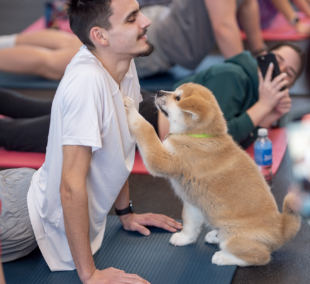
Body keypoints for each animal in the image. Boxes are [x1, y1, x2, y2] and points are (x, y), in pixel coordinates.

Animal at [123, 82, 300, 266]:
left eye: (177, 98)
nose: (158, 92)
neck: (198, 135)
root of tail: (281, 229)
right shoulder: (193, 203)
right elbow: (189, 224)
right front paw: (184, 238)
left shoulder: (160, 158)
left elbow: (146, 128)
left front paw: (131, 108)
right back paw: (215, 236)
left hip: (235, 235)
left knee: (259, 256)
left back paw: (223, 256)